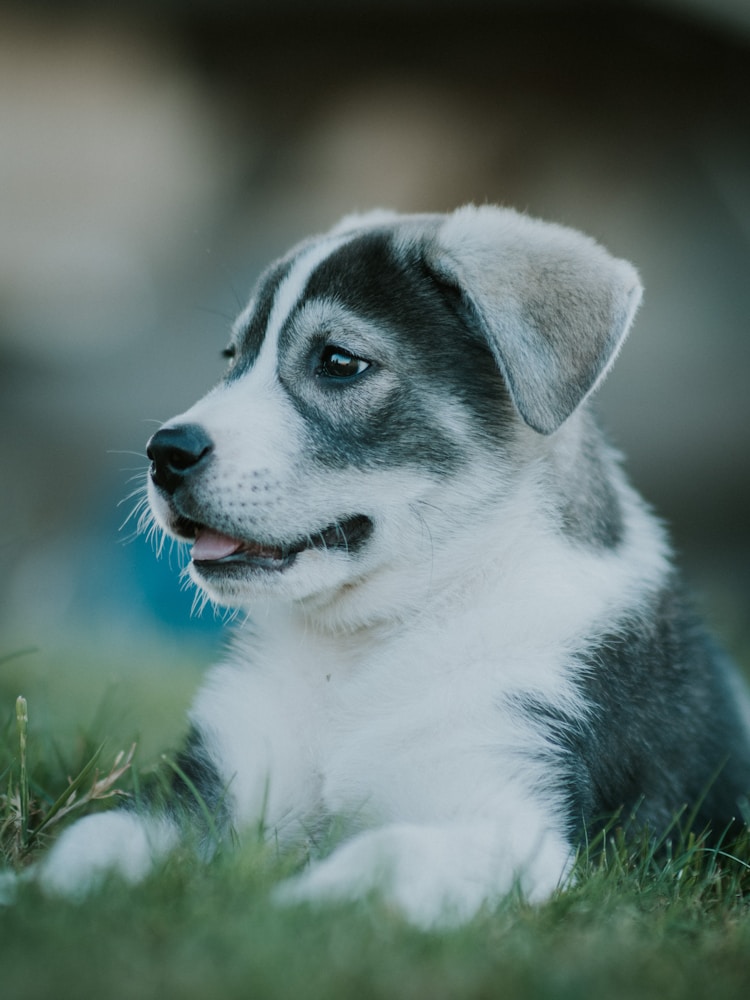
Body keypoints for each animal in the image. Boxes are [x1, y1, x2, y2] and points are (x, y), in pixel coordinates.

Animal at [38, 207, 750, 924]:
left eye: (339, 361)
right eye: (232, 358)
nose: (164, 453)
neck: (368, 642)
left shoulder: (514, 824)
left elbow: (381, 855)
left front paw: (282, 910)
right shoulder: (210, 792)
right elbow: (96, 835)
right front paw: (38, 897)